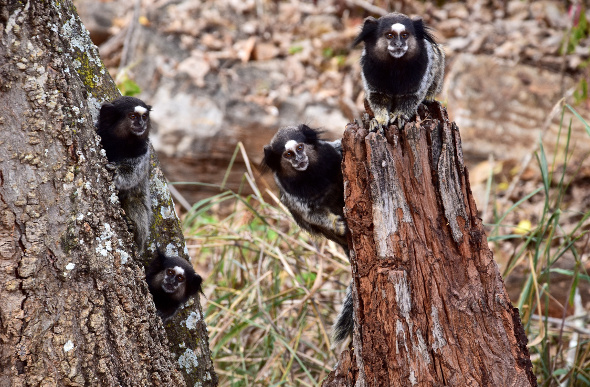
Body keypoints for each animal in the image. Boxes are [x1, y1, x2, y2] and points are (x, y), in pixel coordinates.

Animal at [98, 97, 153, 252]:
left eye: (144, 117)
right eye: (132, 116)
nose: (141, 124)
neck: (121, 143)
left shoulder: (143, 151)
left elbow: (133, 174)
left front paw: (115, 172)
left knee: (133, 201)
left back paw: (133, 230)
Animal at [262, 124, 350, 252]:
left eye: (299, 148)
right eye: (288, 154)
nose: (299, 159)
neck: (309, 174)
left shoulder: (330, 151)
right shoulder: (289, 191)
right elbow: (309, 213)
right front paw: (335, 223)